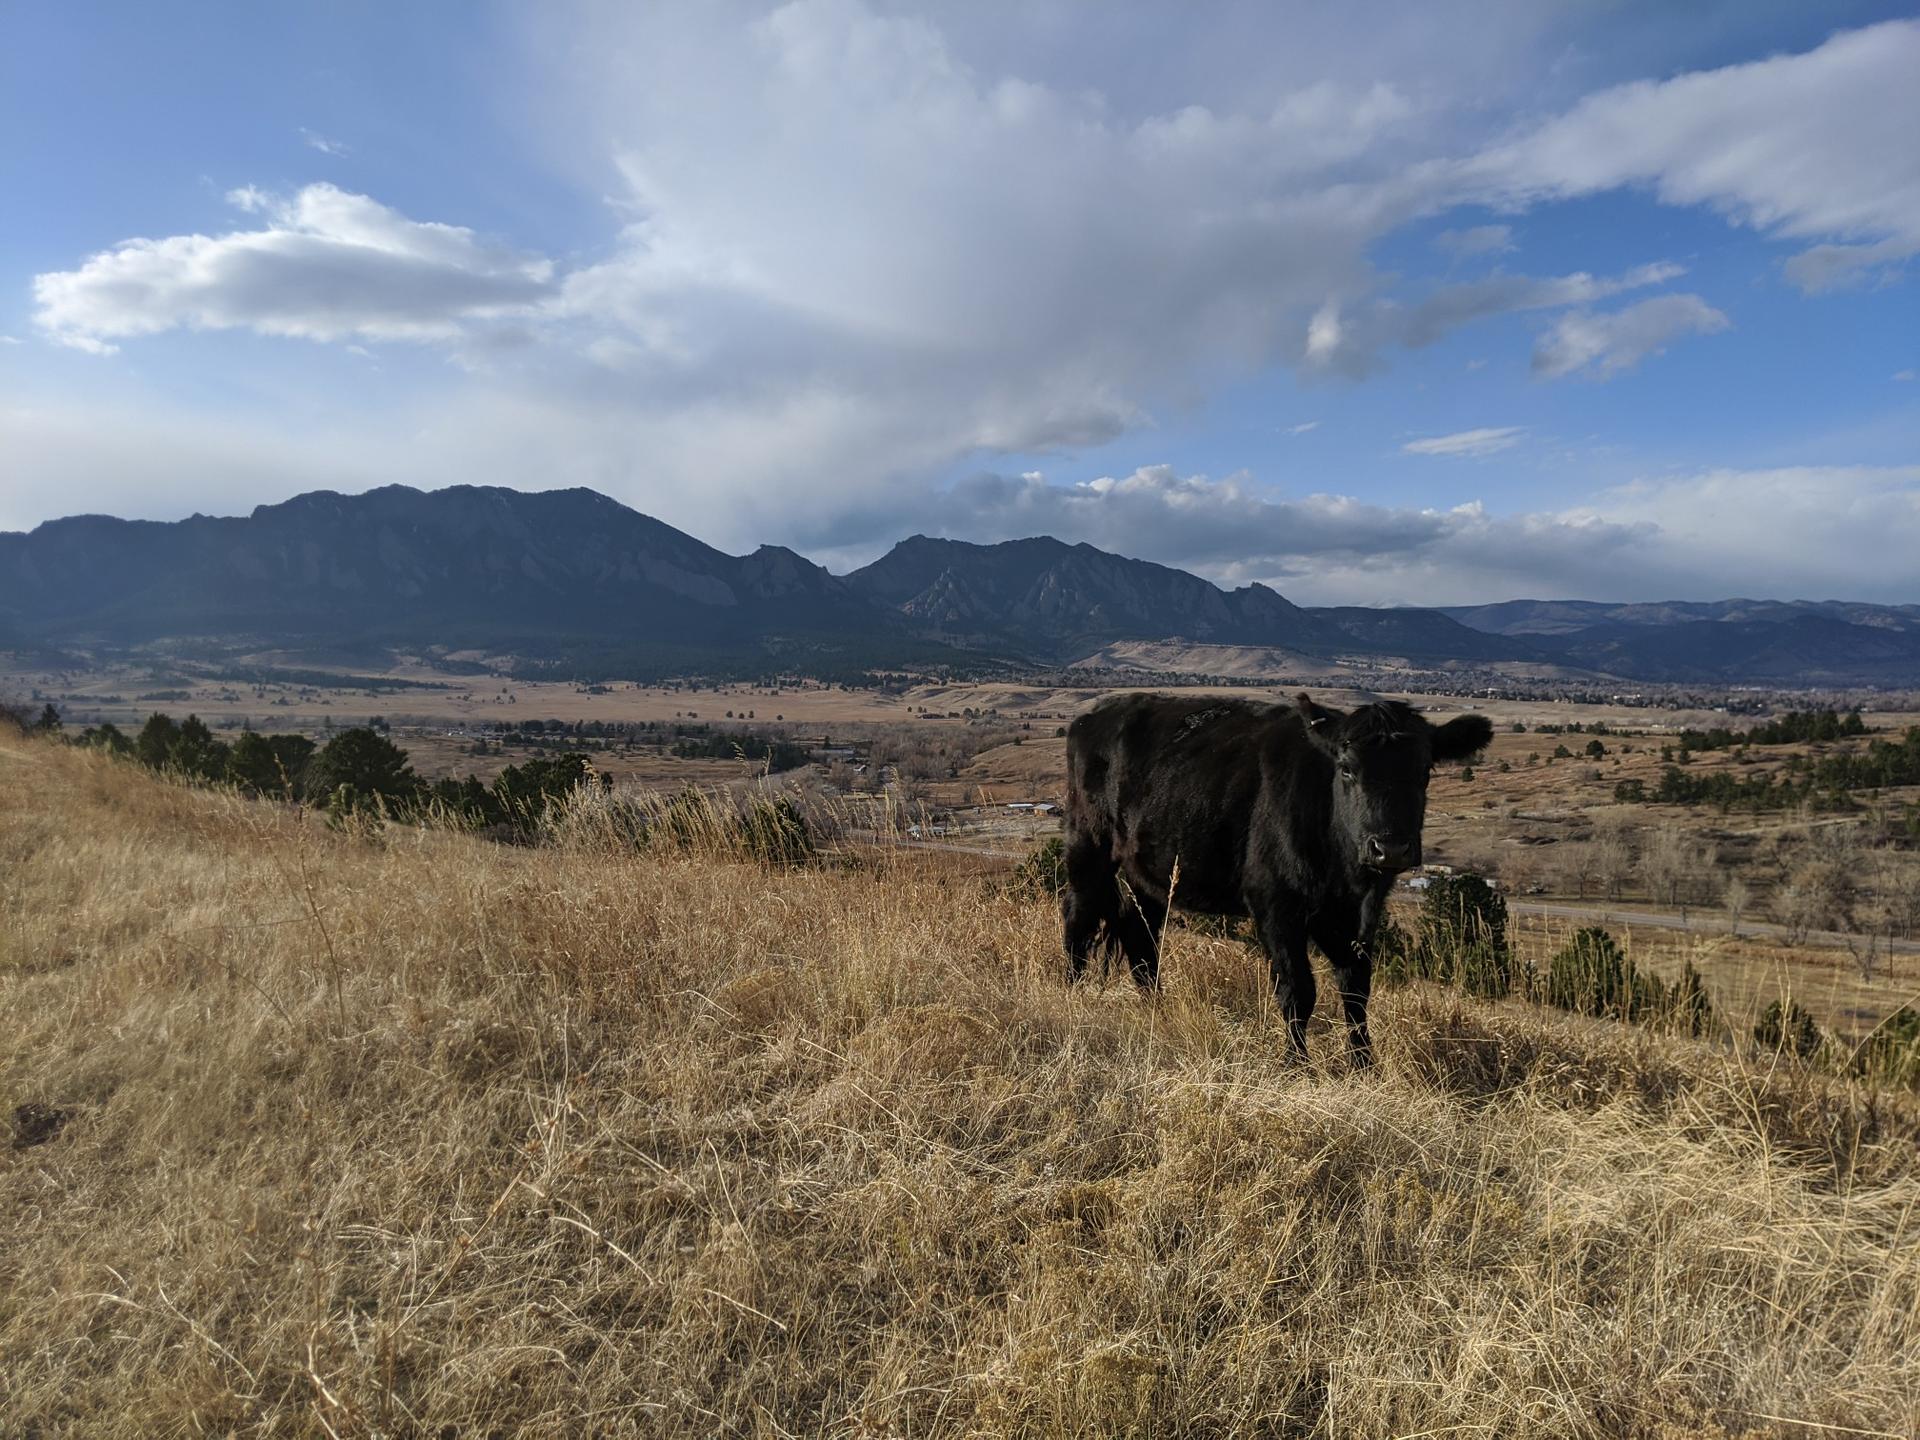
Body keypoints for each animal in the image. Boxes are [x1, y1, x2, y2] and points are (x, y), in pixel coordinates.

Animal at [1061, 690, 1493, 1064]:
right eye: (1347, 768)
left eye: (1424, 771)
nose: (1390, 848)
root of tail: (1095, 714)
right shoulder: (1275, 903)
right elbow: (1298, 989)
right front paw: (1297, 1064)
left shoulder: (1356, 915)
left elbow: (1356, 988)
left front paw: (1364, 1064)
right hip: (1089, 843)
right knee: (1079, 915)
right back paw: (1071, 994)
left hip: (1152, 868)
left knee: (1140, 934)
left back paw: (1157, 1011)